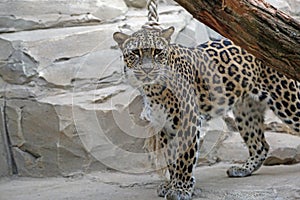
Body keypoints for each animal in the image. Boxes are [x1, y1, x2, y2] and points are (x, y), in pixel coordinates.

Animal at [113, 27, 300, 200]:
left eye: (157, 52)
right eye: (135, 53)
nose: (147, 69)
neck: (152, 89)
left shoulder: (188, 120)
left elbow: (184, 158)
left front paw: (181, 189)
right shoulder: (163, 125)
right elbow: (171, 158)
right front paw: (171, 184)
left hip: (288, 102)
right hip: (246, 110)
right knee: (261, 145)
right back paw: (243, 169)